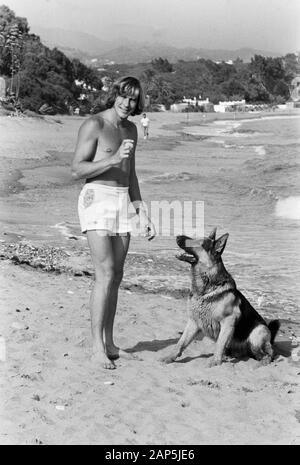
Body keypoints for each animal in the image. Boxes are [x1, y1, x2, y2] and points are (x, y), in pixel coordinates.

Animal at [161, 228, 280, 366]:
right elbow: (180, 343)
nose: (177, 236)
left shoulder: (228, 321)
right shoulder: (193, 322)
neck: (205, 289)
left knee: (270, 353)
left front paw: (215, 362)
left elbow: (219, 344)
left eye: (200, 243)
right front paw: (170, 357)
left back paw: (264, 361)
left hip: (257, 334)